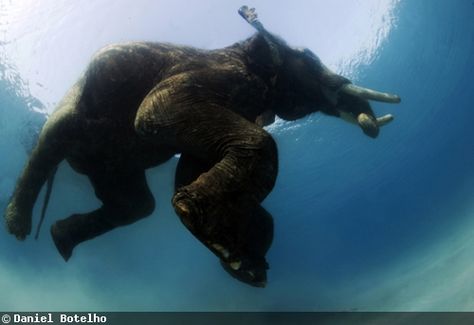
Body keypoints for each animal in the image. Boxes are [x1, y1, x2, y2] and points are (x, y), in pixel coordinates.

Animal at [3, 5, 400, 286]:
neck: (243, 49)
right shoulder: (213, 76)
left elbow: (191, 166)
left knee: (137, 206)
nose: (375, 121)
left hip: (109, 162)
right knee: (51, 144)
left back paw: (59, 240)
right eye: (310, 59)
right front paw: (218, 240)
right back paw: (19, 227)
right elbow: (151, 113)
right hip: (72, 117)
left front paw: (242, 265)